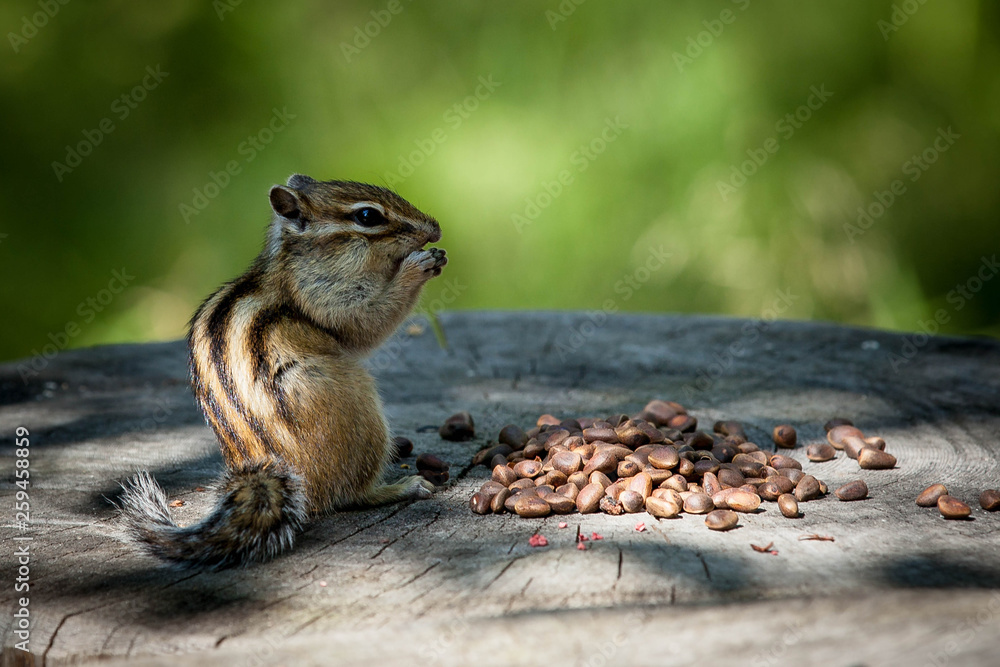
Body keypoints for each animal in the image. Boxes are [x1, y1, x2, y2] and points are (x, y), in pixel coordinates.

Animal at [119, 175, 447, 569]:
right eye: (368, 216)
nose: (435, 229)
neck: (293, 264)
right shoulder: (322, 295)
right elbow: (365, 323)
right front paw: (417, 267)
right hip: (354, 407)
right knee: (349, 495)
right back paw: (403, 486)